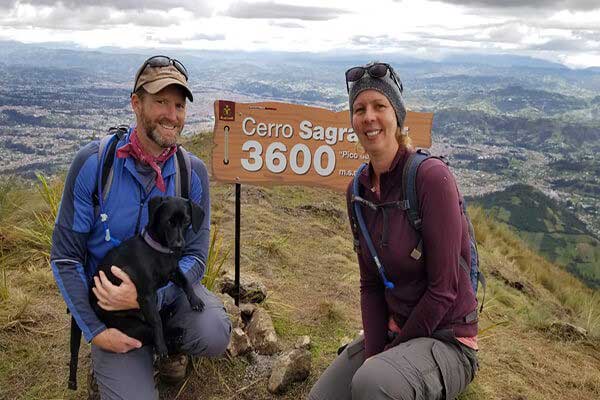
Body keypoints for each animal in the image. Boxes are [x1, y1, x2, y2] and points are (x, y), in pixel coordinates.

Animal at [90, 195, 205, 354]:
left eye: (187, 221)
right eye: (169, 221)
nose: (179, 245)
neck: (160, 252)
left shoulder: (174, 272)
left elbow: (186, 281)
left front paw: (195, 300)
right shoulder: (147, 296)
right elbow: (156, 321)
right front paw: (161, 346)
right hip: (132, 326)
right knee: (150, 331)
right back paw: (171, 336)